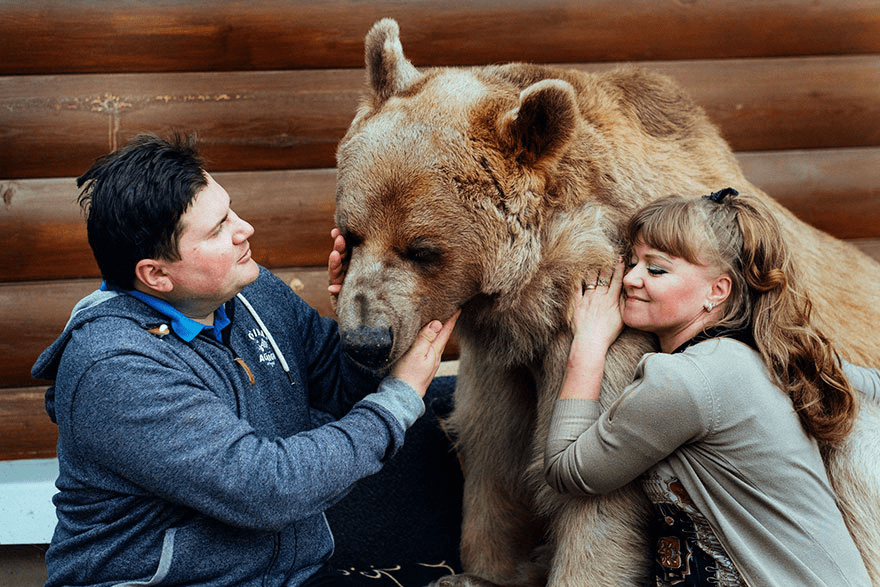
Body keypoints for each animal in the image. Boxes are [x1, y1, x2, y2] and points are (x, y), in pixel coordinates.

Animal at [330, 18, 880, 587]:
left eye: (422, 250)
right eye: (351, 234)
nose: (365, 340)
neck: (537, 293)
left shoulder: (614, 334)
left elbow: (594, 494)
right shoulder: (501, 354)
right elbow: (493, 451)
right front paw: (480, 570)